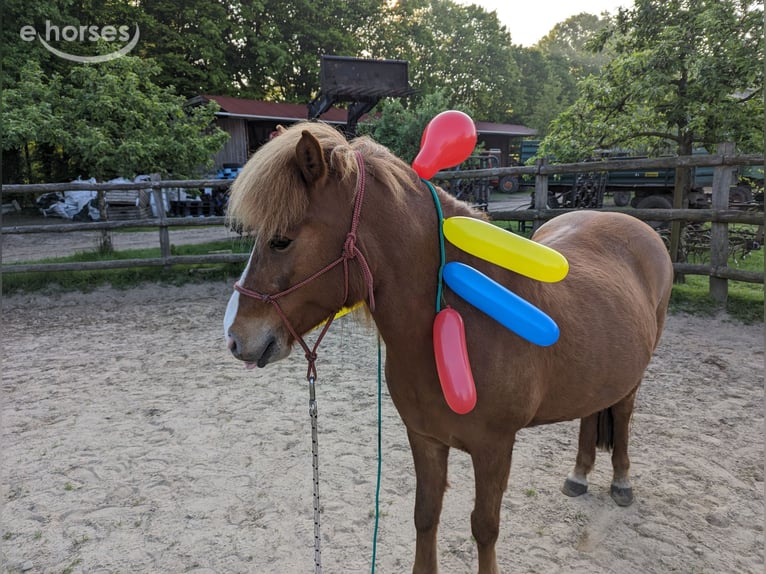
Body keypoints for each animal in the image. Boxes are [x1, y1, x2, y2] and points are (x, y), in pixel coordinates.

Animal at [223, 121, 674, 574]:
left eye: (281, 240)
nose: (235, 337)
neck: (459, 322)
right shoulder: (425, 438)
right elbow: (426, 515)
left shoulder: (494, 448)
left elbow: (485, 527)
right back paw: (579, 475)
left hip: (633, 379)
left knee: (622, 414)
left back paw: (621, 482)